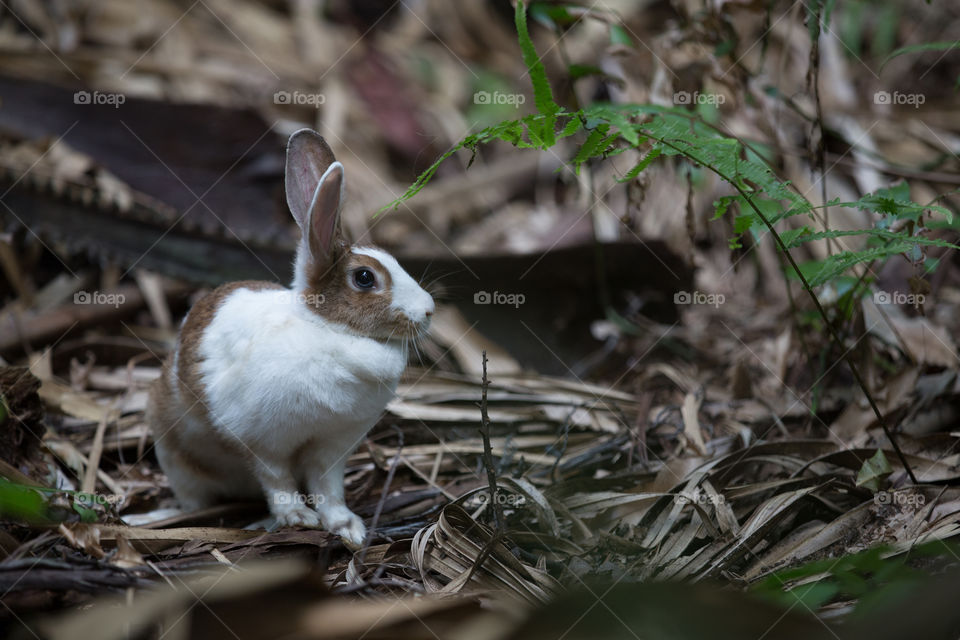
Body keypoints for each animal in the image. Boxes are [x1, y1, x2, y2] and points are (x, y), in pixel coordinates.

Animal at [147, 129, 436, 544]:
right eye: (365, 278)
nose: (428, 310)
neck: (330, 330)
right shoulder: (264, 443)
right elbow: (278, 481)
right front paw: (298, 518)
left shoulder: (332, 447)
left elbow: (327, 486)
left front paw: (347, 527)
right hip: (176, 455)